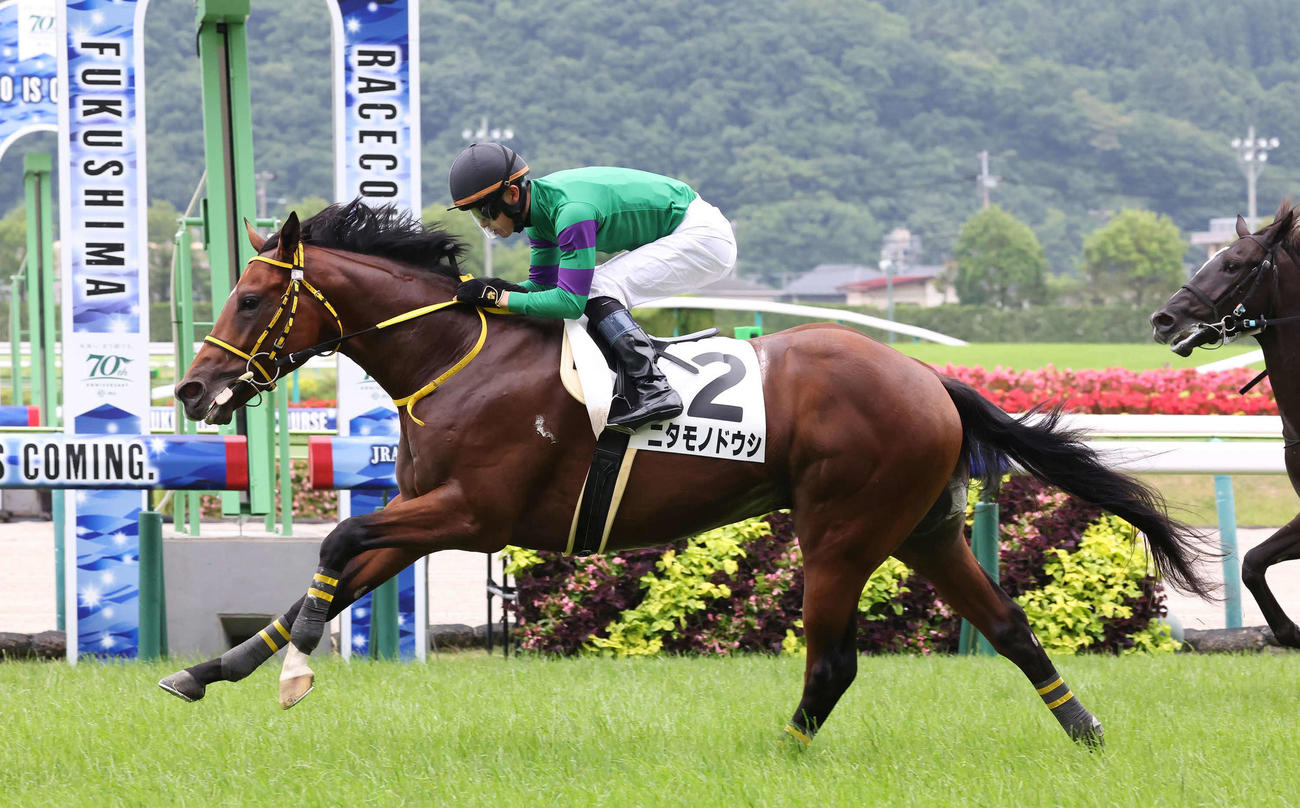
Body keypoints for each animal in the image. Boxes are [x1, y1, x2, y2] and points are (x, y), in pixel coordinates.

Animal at [160, 199, 1212, 747]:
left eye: (250, 296)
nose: (192, 387)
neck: (456, 356)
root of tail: (930, 380)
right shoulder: (430, 511)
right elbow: (333, 574)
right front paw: (212, 671)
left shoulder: (469, 512)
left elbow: (337, 541)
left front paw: (295, 668)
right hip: (924, 527)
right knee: (1009, 628)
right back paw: (1087, 736)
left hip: (844, 529)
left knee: (834, 658)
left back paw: (784, 758)